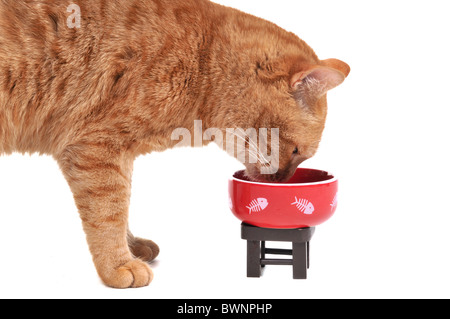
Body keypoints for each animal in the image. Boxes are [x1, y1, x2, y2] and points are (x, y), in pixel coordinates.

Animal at [0, 0, 348, 290]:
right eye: (296, 152)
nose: (282, 182)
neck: (203, 60)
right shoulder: (95, 147)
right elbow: (109, 212)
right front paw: (118, 264)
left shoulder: (116, 155)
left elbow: (123, 205)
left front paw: (131, 247)